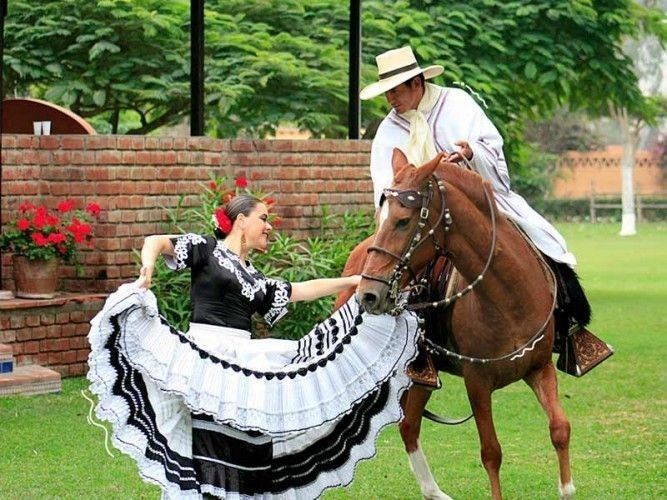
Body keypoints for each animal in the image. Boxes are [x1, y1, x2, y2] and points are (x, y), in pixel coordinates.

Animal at [348, 151, 576, 500]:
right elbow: (491, 452)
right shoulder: (477, 382)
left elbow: (560, 428)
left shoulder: (539, 368)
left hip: (421, 377)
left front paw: (566, 488)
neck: (509, 298)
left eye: (403, 221)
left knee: (409, 425)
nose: (369, 294)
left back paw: (434, 492)